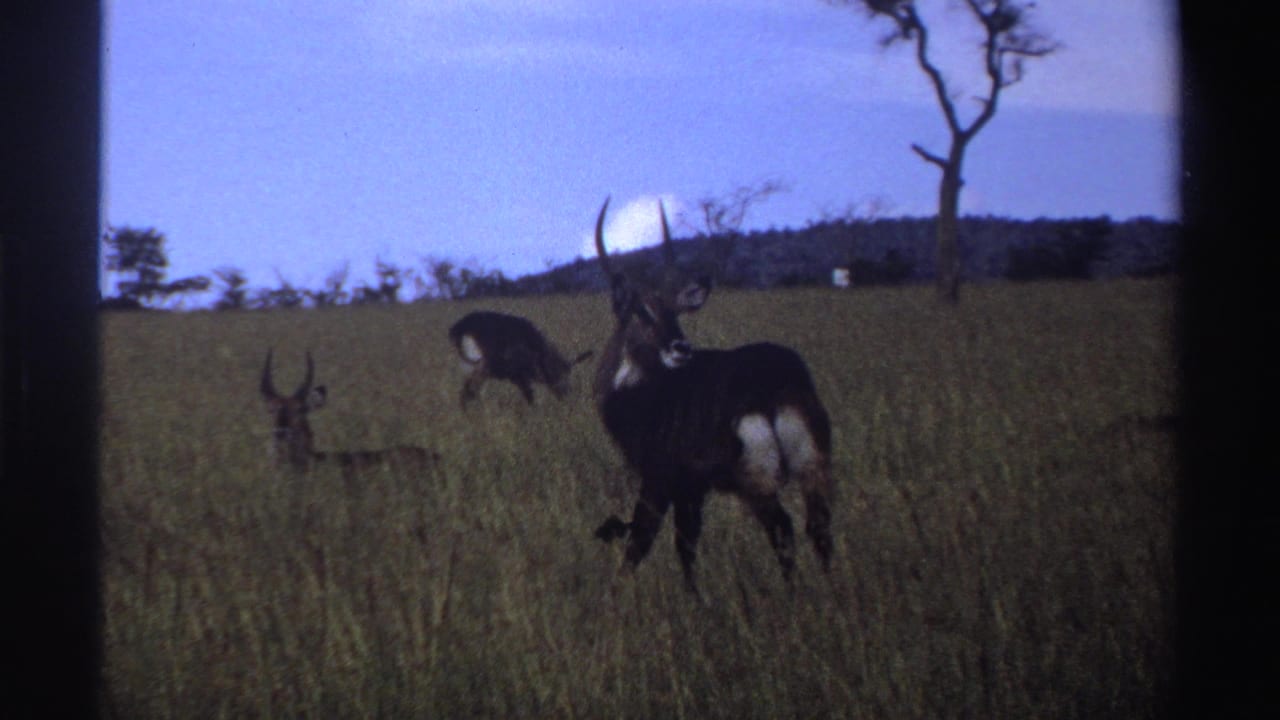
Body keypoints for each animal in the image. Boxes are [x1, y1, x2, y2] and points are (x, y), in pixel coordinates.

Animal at [449, 311, 593, 407]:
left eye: (569, 374)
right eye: (561, 375)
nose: (567, 394)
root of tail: (458, 329)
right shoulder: (520, 376)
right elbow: (530, 396)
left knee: (467, 393)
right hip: (480, 367)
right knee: (469, 392)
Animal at [591, 196, 835, 595]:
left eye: (675, 311)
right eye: (642, 312)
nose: (681, 348)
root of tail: (777, 383)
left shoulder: (661, 480)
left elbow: (642, 543)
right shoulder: (693, 488)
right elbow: (686, 544)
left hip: (755, 481)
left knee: (782, 528)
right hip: (813, 467)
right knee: (819, 527)